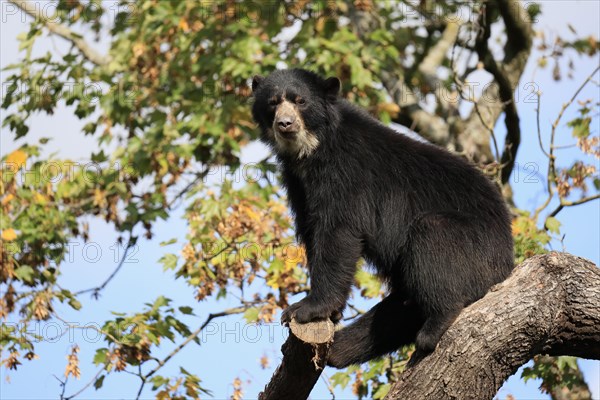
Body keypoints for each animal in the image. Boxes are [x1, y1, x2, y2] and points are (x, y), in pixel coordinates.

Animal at [251, 69, 512, 368]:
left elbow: (338, 232)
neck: (312, 151)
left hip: (475, 248)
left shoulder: (346, 173)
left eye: (300, 101)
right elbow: (312, 232)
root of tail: (508, 258)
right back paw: (339, 349)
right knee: (394, 315)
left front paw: (304, 309)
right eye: (273, 103)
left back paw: (434, 326)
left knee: (433, 239)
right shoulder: (298, 185)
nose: (285, 123)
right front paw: (329, 314)